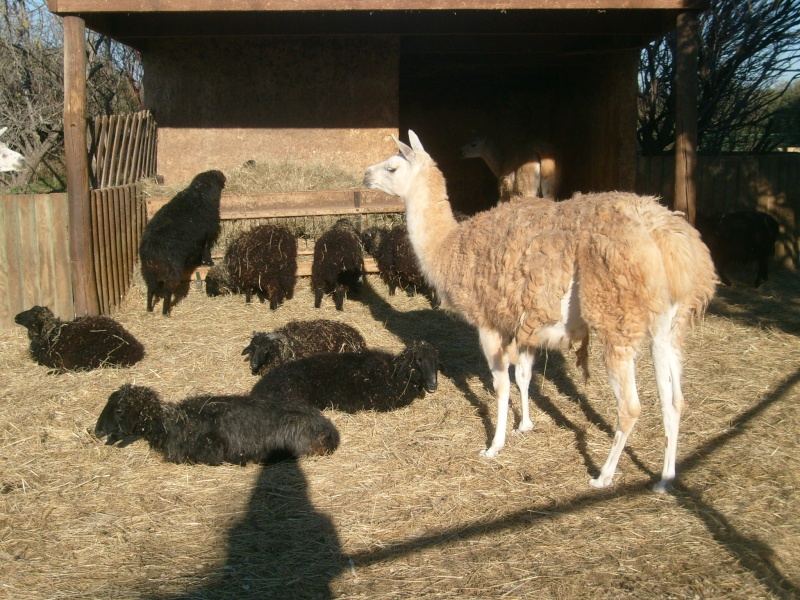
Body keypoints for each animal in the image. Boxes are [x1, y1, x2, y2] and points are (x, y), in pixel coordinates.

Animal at [140, 169, 225, 314]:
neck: (199, 194)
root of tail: (151, 250)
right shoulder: (207, 233)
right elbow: (206, 249)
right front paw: (209, 262)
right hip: (172, 270)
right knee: (167, 291)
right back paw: (165, 312)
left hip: (149, 272)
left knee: (150, 290)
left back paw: (149, 309)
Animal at [364, 131, 720, 492]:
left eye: (392, 167)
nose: (365, 175)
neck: (447, 246)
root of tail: (668, 240)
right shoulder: (524, 321)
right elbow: (524, 376)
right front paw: (525, 425)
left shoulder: (489, 323)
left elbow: (501, 385)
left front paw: (494, 445)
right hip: (670, 325)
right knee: (674, 401)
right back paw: (665, 479)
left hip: (616, 320)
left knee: (631, 407)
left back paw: (604, 476)